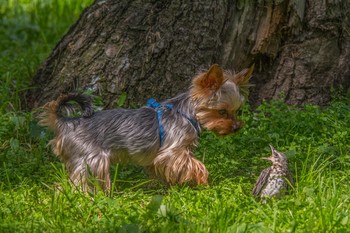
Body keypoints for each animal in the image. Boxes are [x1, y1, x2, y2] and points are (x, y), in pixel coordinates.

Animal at [39, 63, 254, 191]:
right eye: (222, 112)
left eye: (238, 111)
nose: (236, 127)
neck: (186, 113)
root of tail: (67, 123)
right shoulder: (172, 151)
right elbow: (195, 164)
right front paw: (202, 180)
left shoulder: (160, 157)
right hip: (92, 159)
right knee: (81, 181)